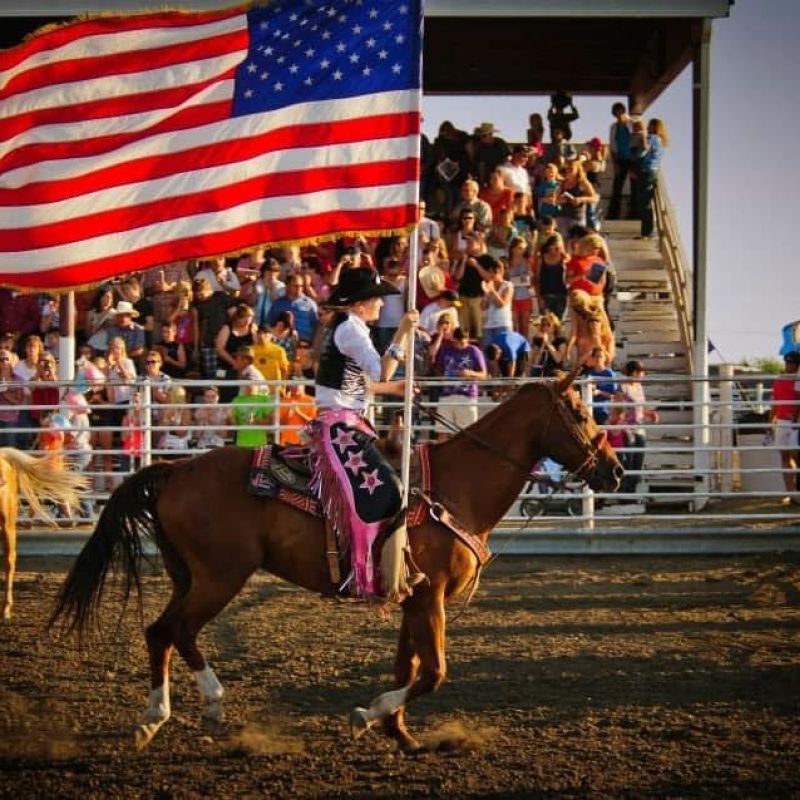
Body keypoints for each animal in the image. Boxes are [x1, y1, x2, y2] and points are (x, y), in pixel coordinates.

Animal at [50, 378, 624, 748]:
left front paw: (397, 733)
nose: (616, 471)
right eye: (580, 412)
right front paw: (369, 714)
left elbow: (408, 666)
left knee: (165, 632)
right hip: (220, 576)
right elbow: (434, 672)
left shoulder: (413, 597)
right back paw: (191, 706)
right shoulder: (432, 595)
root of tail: (175, 469)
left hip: (188, 575)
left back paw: (169, 713)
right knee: (173, 629)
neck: (458, 485)